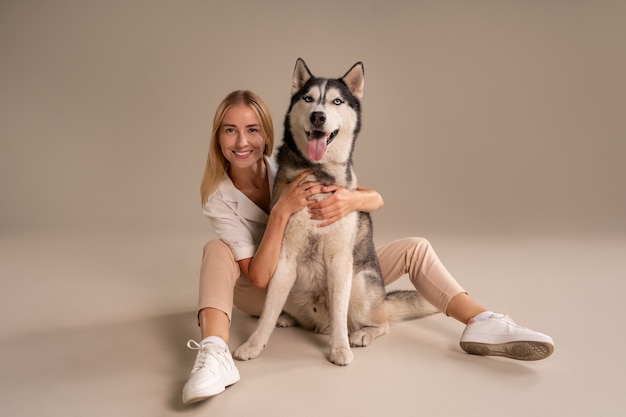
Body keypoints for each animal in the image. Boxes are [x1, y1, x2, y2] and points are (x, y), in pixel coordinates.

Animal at [233, 57, 434, 364]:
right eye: (308, 99)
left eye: (337, 101)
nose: (318, 116)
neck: (318, 173)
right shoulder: (285, 256)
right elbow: (267, 311)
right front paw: (253, 345)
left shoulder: (340, 260)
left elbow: (340, 311)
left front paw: (340, 349)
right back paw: (287, 318)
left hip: (360, 284)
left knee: (381, 322)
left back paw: (362, 334)